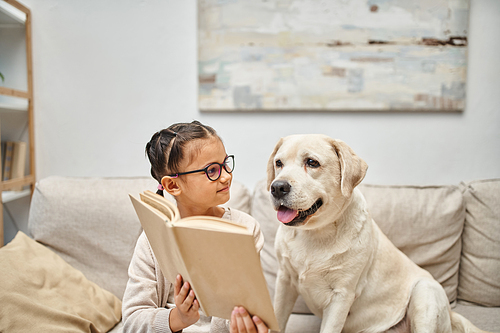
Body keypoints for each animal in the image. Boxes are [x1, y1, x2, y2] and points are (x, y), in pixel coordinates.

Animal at [268, 134, 486, 332]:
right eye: (279, 163)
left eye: (312, 162)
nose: (277, 187)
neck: (314, 233)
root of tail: (451, 313)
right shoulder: (285, 281)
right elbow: (277, 318)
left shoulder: (341, 296)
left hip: (424, 293)